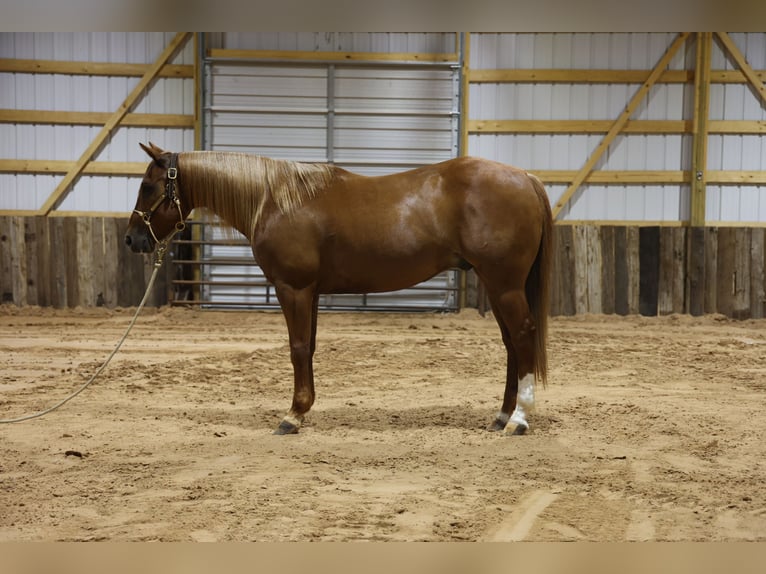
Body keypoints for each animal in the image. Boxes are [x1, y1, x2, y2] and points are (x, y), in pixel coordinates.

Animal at [125, 142, 553, 435]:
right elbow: (309, 348)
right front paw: (304, 408)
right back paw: (501, 416)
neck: (275, 199)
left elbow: (298, 349)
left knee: (522, 336)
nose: (133, 240)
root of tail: (526, 178)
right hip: (496, 285)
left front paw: (292, 416)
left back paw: (519, 419)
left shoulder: (293, 288)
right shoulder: (310, 291)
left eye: (148, 186)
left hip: (505, 285)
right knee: (511, 344)